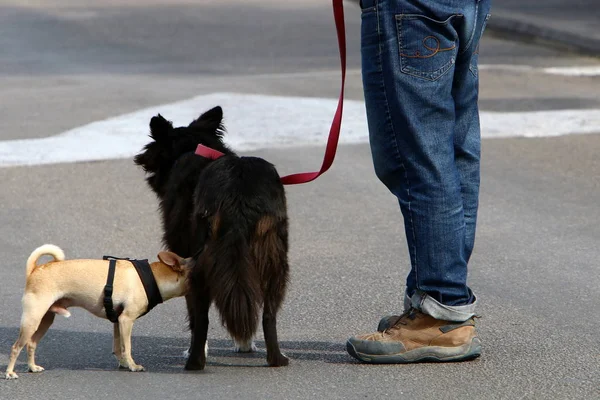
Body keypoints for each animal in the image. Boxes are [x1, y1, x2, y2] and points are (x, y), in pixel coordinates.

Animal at [4, 244, 188, 378]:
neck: (153, 277)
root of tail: (35, 269)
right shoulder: (126, 320)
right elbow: (127, 347)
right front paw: (132, 365)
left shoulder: (118, 321)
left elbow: (119, 346)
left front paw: (123, 363)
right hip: (32, 320)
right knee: (16, 347)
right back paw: (10, 372)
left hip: (45, 320)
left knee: (31, 344)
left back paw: (32, 367)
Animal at [135, 106, 290, 368]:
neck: (194, 146)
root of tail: (238, 194)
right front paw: (244, 343)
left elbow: (195, 315)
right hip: (274, 260)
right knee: (268, 315)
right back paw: (277, 359)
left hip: (199, 261)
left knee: (202, 318)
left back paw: (194, 362)